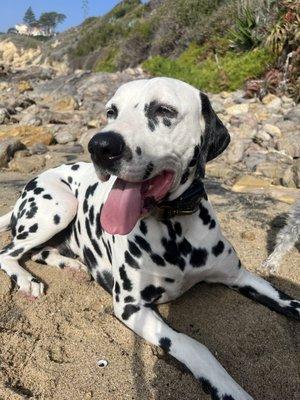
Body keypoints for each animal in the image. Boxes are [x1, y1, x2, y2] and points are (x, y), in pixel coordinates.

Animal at [0, 76, 300, 398]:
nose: (100, 145)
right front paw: (228, 388)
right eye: (111, 112)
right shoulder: (132, 308)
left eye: (164, 110)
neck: (175, 229)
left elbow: (289, 300)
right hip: (59, 206)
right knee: (9, 252)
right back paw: (27, 280)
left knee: (37, 251)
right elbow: (194, 346)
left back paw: (72, 265)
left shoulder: (241, 277)